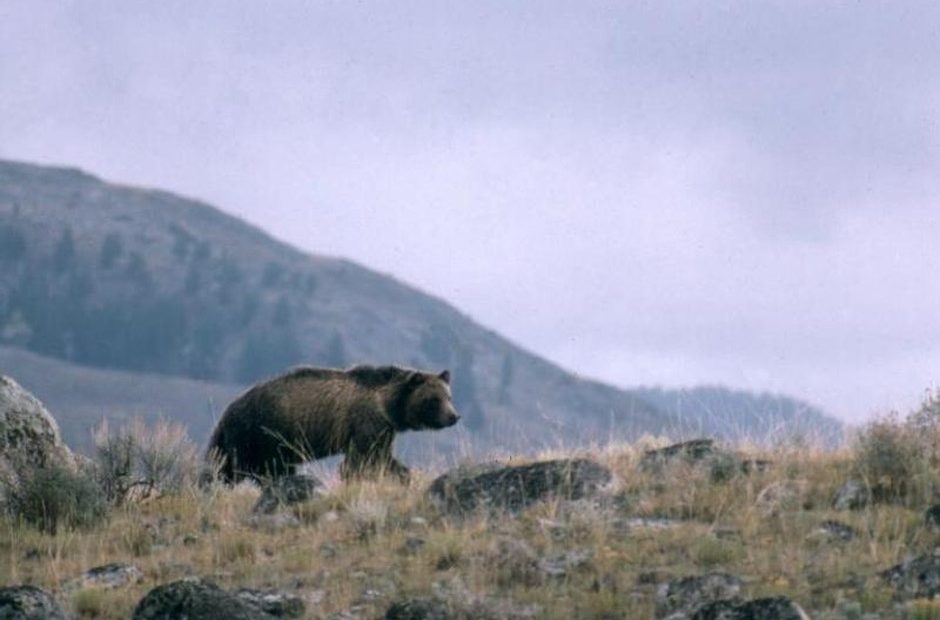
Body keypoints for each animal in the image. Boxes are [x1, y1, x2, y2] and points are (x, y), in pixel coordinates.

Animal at [207, 364, 460, 484]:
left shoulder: (384, 431)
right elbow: (362, 460)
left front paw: (403, 475)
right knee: (247, 469)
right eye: (433, 399)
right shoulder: (366, 423)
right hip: (260, 434)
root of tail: (228, 411)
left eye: (449, 396)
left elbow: (382, 457)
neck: (388, 406)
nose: (454, 417)